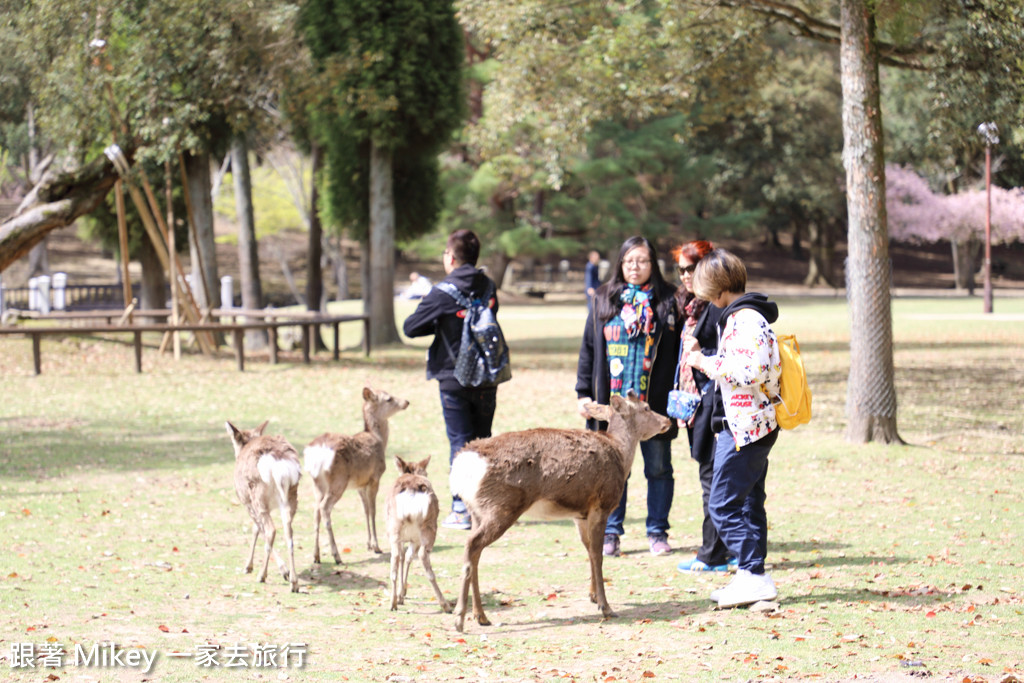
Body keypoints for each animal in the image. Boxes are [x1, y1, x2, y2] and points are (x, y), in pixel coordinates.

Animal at [226, 417, 301, 593]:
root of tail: (279, 464)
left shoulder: (246, 501)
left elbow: (257, 529)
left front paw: (249, 566)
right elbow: (257, 529)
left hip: (257, 495)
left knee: (270, 530)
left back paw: (262, 575)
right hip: (291, 495)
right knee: (289, 532)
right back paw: (294, 583)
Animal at [301, 387, 409, 565]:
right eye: (389, 398)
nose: (406, 401)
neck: (379, 440)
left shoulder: (359, 484)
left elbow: (365, 510)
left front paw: (368, 544)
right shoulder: (375, 477)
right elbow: (373, 510)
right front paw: (376, 546)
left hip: (317, 482)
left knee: (315, 510)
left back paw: (316, 556)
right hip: (338, 480)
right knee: (324, 508)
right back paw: (337, 556)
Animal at [385, 456, 450, 610]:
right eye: (426, 472)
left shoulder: (403, 538)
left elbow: (403, 557)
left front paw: (401, 595)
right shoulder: (414, 540)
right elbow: (408, 557)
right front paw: (402, 594)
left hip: (394, 528)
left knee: (395, 558)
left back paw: (392, 603)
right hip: (429, 527)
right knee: (421, 556)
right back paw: (445, 604)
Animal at [448, 393, 671, 634]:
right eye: (646, 407)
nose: (667, 420)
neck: (621, 454)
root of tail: (462, 464)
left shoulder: (579, 514)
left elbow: (588, 550)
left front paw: (593, 596)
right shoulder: (601, 505)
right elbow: (598, 554)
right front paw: (606, 607)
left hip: (478, 511)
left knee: (476, 553)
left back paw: (481, 616)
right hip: (502, 506)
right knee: (472, 545)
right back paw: (459, 618)